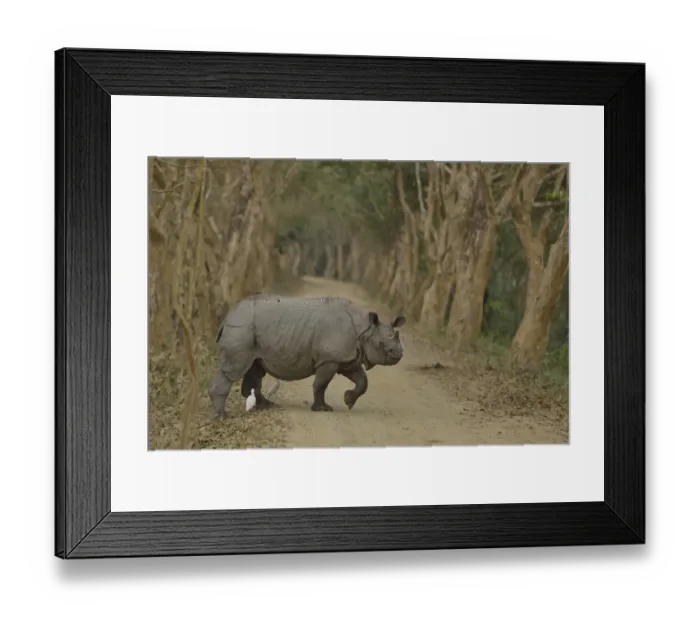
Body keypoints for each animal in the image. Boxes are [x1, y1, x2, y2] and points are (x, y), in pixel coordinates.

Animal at [208, 293, 406, 417]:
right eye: (382, 345)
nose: (399, 353)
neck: (365, 329)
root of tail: (228, 316)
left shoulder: (345, 357)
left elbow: (362, 380)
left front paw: (348, 400)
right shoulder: (329, 359)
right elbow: (321, 384)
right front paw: (323, 409)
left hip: (252, 332)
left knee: (255, 366)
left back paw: (266, 406)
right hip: (242, 328)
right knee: (234, 370)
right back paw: (222, 416)